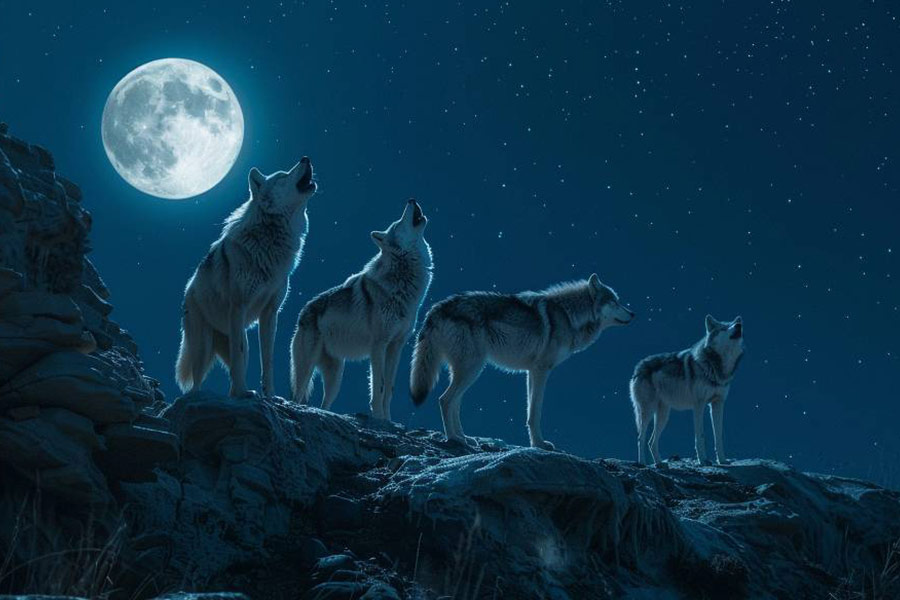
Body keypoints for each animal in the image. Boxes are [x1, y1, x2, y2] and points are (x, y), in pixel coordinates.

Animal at [175, 158, 317, 397]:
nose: (305, 158)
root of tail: (188, 289)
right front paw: (242, 392)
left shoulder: (270, 313)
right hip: (203, 345)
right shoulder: (238, 306)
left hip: (239, 336)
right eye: (282, 177)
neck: (269, 243)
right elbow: (238, 357)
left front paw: (269, 394)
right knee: (197, 380)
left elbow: (267, 360)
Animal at [290, 199, 432, 419]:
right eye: (398, 223)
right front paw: (379, 418)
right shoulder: (379, 345)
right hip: (307, 368)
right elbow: (378, 387)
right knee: (297, 396)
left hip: (336, 376)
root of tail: (303, 311)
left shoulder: (396, 346)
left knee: (324, 404)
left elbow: (389, 388)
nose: (411, 199)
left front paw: (388, 421)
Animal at [410, 275, 635, 449]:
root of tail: (436, 308)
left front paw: (536, 443)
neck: (568, 315)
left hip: (468, 370)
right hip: (472, 368)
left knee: (454, 402)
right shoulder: (542, 370)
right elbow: (535, 412)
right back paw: (454, 439)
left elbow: (529, 411)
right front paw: (540, 444)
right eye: (614, 302)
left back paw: (465, 437)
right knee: (445, 400)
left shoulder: (530, 371)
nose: (633, 313)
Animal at [630, 315, 744, 467]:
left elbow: (718, 435)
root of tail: (638, 366)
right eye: (723, 328)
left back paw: (659, 463)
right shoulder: (699, 405)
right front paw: (703, 461)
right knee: (640, 438)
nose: (738, 325)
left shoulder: (718, 403)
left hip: (663, 415)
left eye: (735, 323)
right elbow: (700, 435)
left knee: (651, 441)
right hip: (647, 411)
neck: (717, 367)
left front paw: (722, 460)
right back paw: (642, 463)